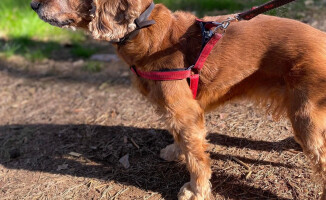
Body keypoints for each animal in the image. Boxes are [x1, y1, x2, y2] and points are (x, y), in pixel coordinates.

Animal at [30, 0, 326, 199]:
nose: (32, 4)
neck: (145, 30)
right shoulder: (172, 110)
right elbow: (178, 137)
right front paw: (175, 151)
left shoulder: (186, 113)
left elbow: (197, 158)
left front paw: (197, 190)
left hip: (306, 117)